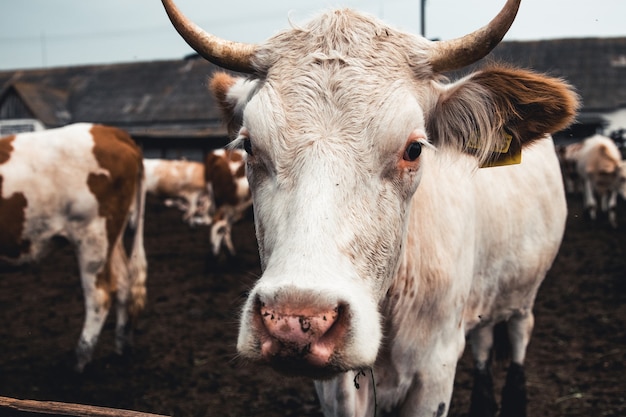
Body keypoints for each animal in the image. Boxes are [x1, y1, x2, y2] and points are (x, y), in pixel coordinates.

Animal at [0, 122, 147, 370]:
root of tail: (109, 131)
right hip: (111, 238)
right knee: (123, 282)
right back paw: (120, 348)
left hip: (92, 237)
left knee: (100, 295)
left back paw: (81, 360)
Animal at [161, 0, 576, 416]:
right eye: (248, 145)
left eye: (414, 148)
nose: (294, 321)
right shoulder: (337, 388)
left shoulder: (436, 369)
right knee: (484, 339)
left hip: (524, 292)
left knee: (519, 334)